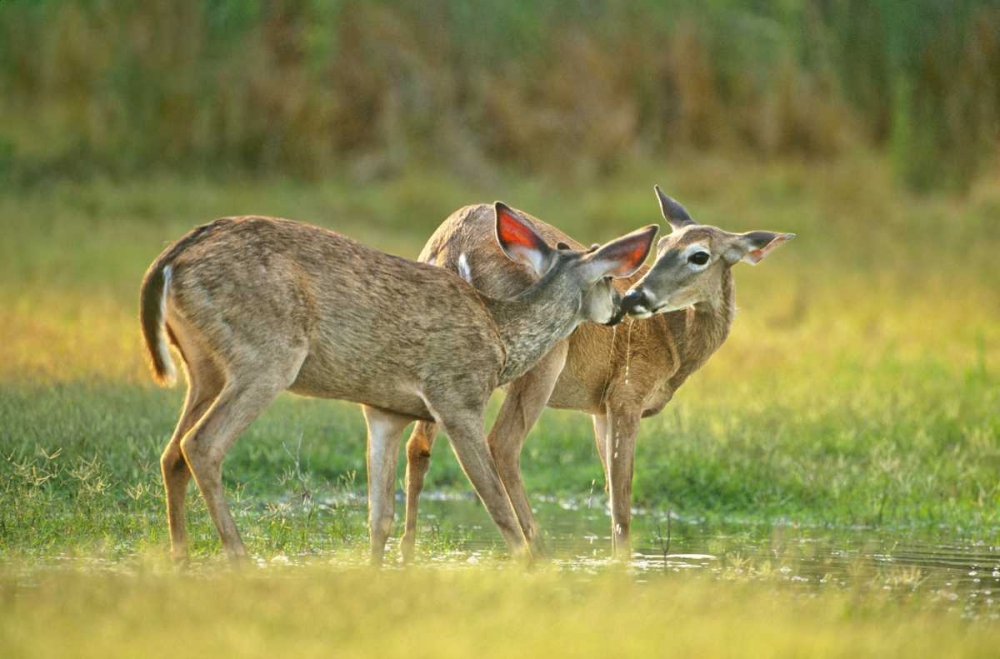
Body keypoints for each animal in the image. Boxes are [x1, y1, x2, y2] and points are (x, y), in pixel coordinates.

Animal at [139, 202, 656, 564]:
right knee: (201, 444)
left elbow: (379, 517)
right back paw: (240, 559)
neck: (501, 336)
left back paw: (181, 560)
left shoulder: (384, 411)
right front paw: (530, 567)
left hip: (204, 368)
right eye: (608, 278)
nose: (620, 310)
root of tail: (168, 262)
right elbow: (496, 504)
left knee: (171, 454)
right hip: (267, 356)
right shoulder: (456, 396)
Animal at [394, 187, 792, 564]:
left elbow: (608, 488)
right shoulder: (627, 392)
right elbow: (622, 495)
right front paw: (622, 563)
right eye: (662, 246)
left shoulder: (599, 408)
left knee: (418, 446)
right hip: (542, 356)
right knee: (503, 444)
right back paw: (539, 552)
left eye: (699, 255)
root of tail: (453, 248)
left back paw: (407, 549)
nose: (634, 297)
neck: (674, 347)